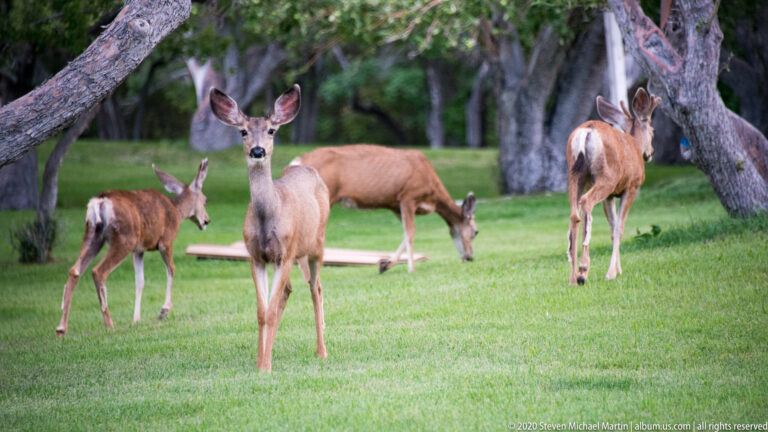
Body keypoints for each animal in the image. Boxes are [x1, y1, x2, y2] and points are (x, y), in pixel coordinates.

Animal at [56, 159, 210, 336]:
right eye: (205, 200)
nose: (207, 220)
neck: (177, 211)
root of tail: (100, 202)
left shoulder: (138, 250)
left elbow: (139, 281)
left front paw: (136, 320)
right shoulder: (166, 241)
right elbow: (171, 269)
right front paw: (164, 310)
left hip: (92, 234)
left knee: (74, 270)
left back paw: (61, 328)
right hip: (124, 239)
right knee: (98, 271)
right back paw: (109, 324)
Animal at [209, 84, 330, 372]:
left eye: (271, 130)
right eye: (243, 131)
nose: (257, 151)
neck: (267, 217)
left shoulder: (283, 254)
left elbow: (272, 310)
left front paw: (266, 366)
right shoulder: (256, 257)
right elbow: (262, 312)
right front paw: (261, 363)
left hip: (316, 245)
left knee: (316, 289)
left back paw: (321, 351)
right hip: (299, 253)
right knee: (290, 291)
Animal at [290, 144, 477, 274]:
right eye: (476, 232)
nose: (470, 257)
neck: (432, 195)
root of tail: (297, 162)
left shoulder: (395, 205)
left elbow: (405, 233)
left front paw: (385, 264)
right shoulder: (408, 195)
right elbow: (411, 232)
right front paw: (411, 268)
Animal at [567, 87, 661, 285]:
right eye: (652, 130)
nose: (651, 153)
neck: (634, 144)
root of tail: (586, 132)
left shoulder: (610, 195)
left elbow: (612, 228)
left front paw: (617, 269)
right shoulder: (631, 186)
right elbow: (619, 228)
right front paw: (612, 273)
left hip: (575, 176)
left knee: (574, 215)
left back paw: (572, 278)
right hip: (606, 177)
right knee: (586, 202)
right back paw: (583, 270)